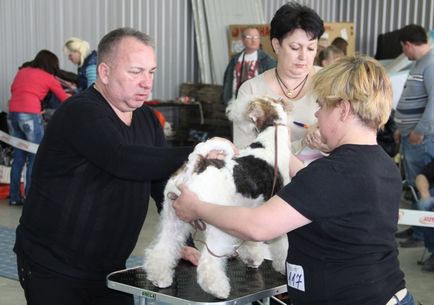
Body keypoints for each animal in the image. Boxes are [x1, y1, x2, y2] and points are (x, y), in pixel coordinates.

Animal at [144, 96, 290, 298]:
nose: (231, 109)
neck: (271, 139)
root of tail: (194, 168)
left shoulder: (250, 214)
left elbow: (251, 242)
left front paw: (252, 259)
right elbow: (282, 246)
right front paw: (282, 266)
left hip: (173, 220)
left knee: (162, 250)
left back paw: (160, 278)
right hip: (216, 229)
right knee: (208, 263)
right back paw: (219, 289)